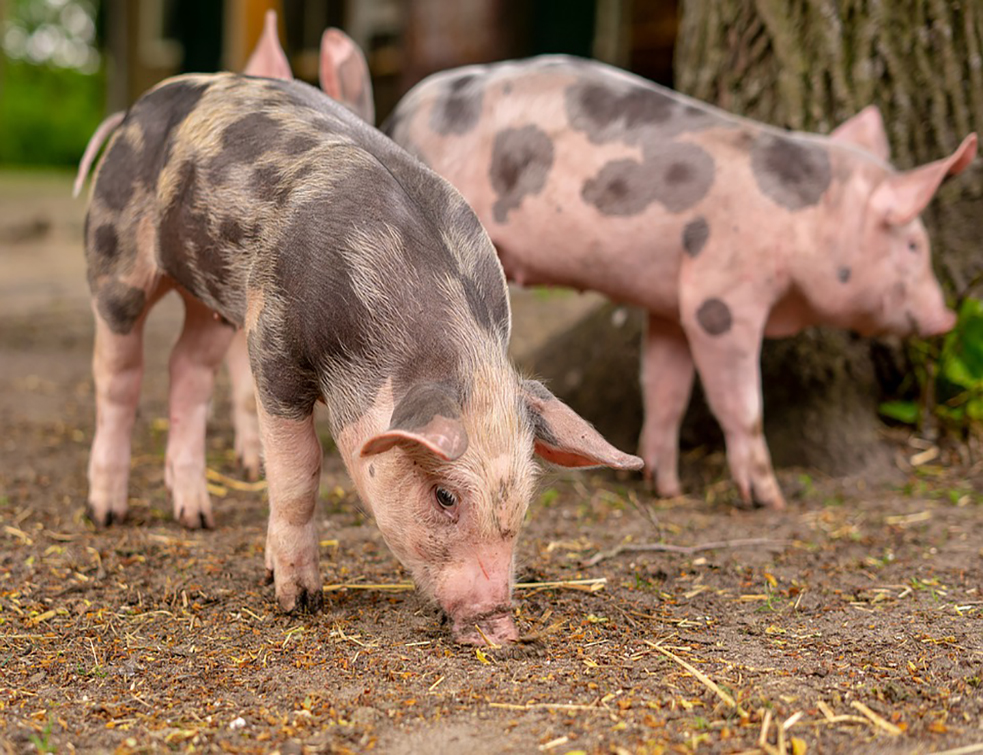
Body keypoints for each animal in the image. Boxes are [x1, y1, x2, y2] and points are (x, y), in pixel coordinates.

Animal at [74, 71, 642, 645]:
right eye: (445, 496)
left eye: (525, 496)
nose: (500, 626)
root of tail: (135, 111)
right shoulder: (271, 342)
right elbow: (297, 472)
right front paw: (298, 600)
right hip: (116, 262)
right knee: (118, 377)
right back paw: (106, 512)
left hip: (211, 298)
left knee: (187, 368)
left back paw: (196, 517)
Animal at [381, 55, 978, 510]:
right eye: (913, 245)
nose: (947, 314)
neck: (805, 217)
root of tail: (403, 114)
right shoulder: (720, 299)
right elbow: (741, 404)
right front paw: (770, 501)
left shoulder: (670, 303)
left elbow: (666, 387)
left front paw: (664, 487)